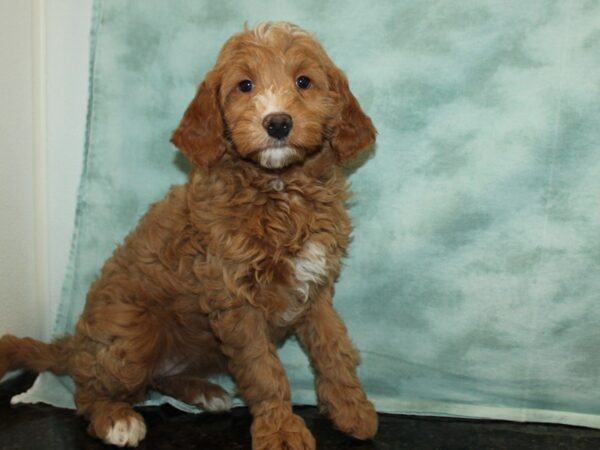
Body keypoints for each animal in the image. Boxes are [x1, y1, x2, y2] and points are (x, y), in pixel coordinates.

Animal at [0, 22, 376, 450]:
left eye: (303, 81)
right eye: (245, 85)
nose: (278, 123)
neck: (280, 190)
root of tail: (77, 345)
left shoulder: (315, 290)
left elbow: (334, 351)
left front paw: (351, 409)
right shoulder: (236, 300)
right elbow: (264, 371)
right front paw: (281, 430)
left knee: (156, 378)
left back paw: (203, 392)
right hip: (133, 336)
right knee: (88, 391)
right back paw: (116, 418)